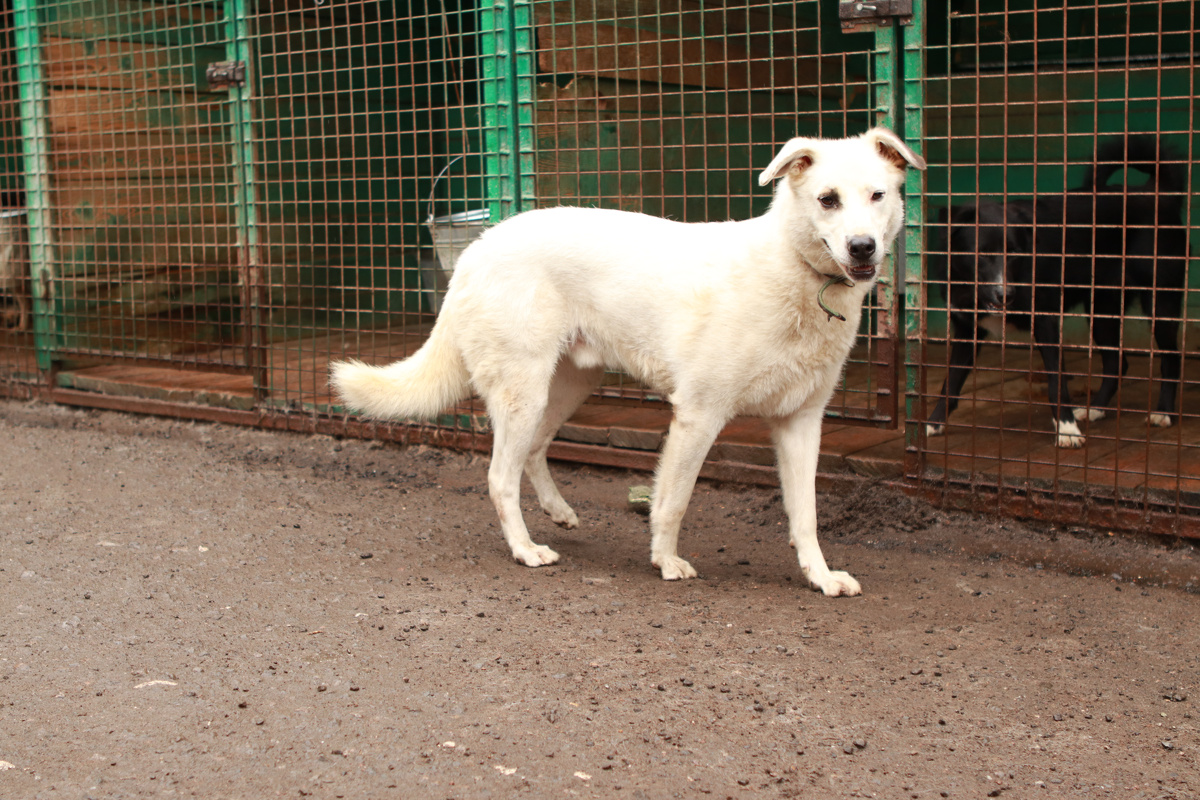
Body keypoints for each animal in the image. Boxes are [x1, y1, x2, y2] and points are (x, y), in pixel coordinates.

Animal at [333, 128, 921, 597]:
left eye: (877, 195)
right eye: (827, 199)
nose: (863, 247)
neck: (797, 273)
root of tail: (479, 246)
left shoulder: (801, 423)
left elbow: (806, 517)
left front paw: (820, 577)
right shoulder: (699, 415)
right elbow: (673, 500)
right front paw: (665, 561)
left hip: (569, 385)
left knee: (533, 452)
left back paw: (558, 513)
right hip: (524, 392)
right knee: (500, 475)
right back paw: (526, 550)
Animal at [921, 138, 1185, 450]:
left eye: (1015, 253)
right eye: (981, 254)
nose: (1005, 295)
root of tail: (1159, 192)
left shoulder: (1046, 321)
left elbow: (1056, 381)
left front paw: (1067, 430)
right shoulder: (966, 329)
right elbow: (950, 382)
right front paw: (932, 424)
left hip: (1160, 303)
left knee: (1171, 357)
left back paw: (1163, 412)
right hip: (1101, 311)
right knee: (1116, 362)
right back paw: (1096, 409)